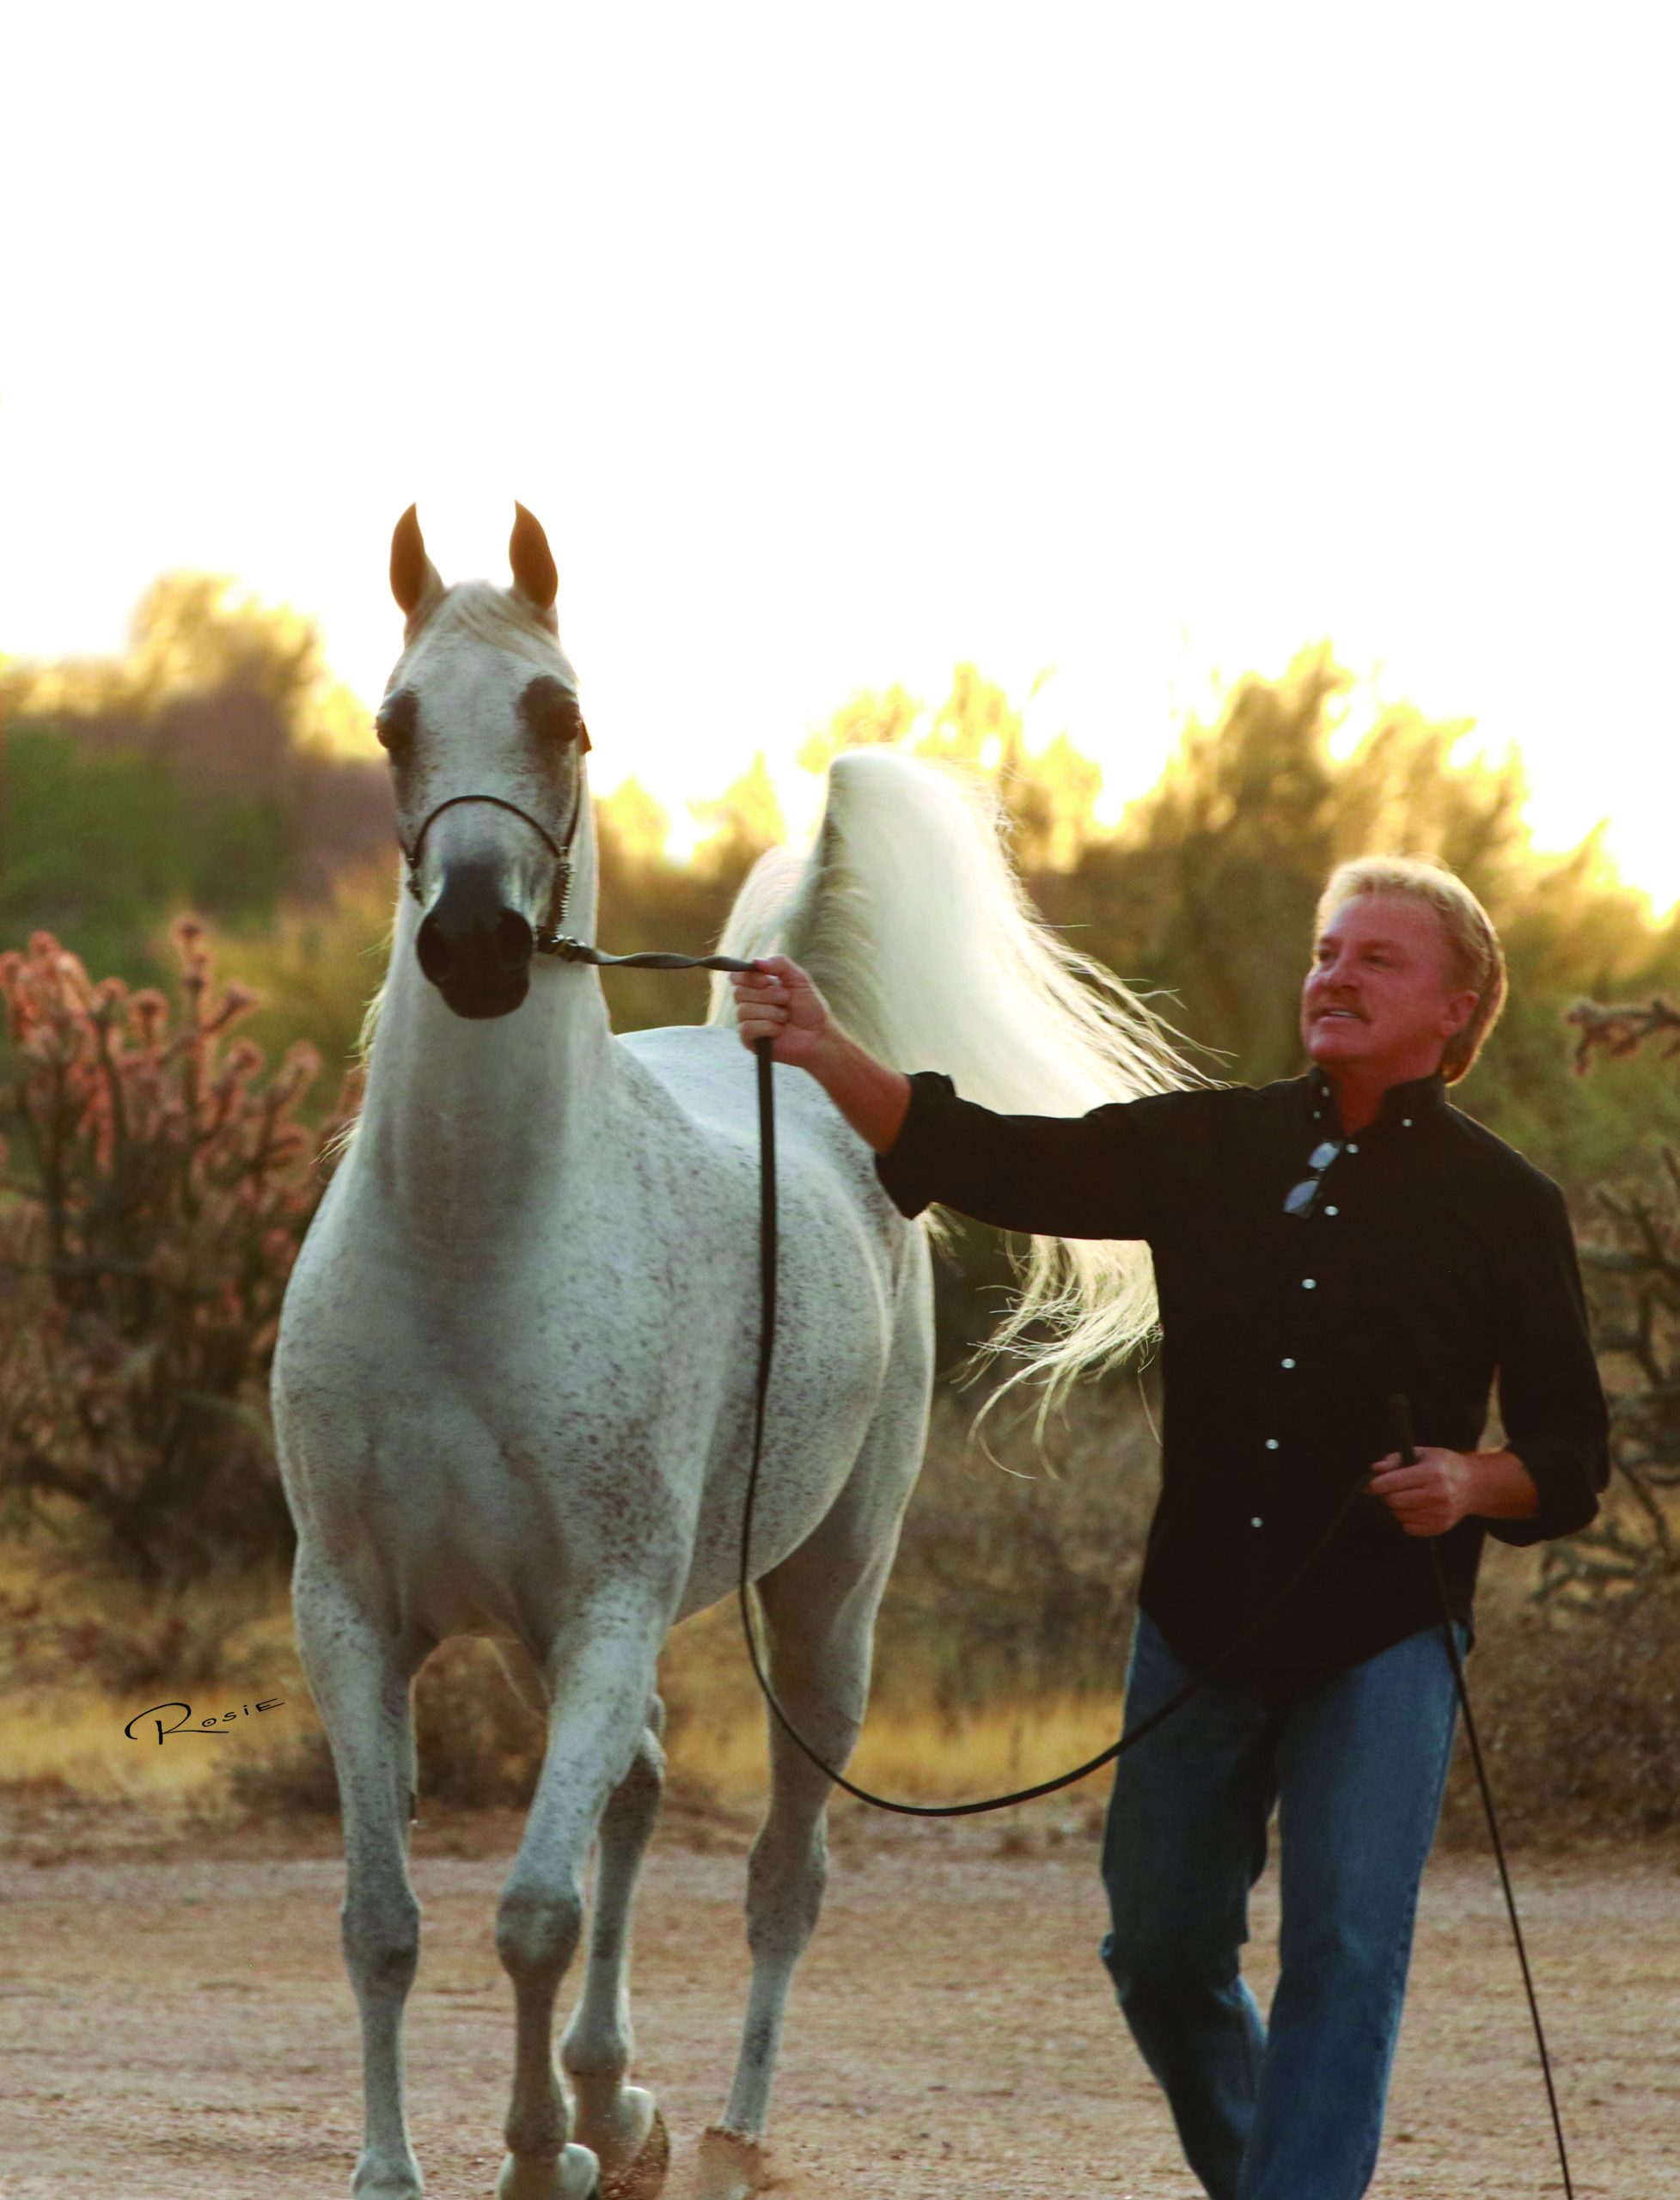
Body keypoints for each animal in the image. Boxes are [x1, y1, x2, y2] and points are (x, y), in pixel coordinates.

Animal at [276, 505, 1187, 2200]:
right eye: (392, 724)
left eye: (561, 716)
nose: (478, 946)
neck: (469, 1242)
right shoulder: (355, 1619)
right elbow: (385, 1922)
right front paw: (406, 2166)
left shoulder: (606, 1612)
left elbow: (533, 1913)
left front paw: (534, 2157)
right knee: (635, 1795)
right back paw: (615, 2102)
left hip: (826, 1605)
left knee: (780, 1874)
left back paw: (720, 2129)